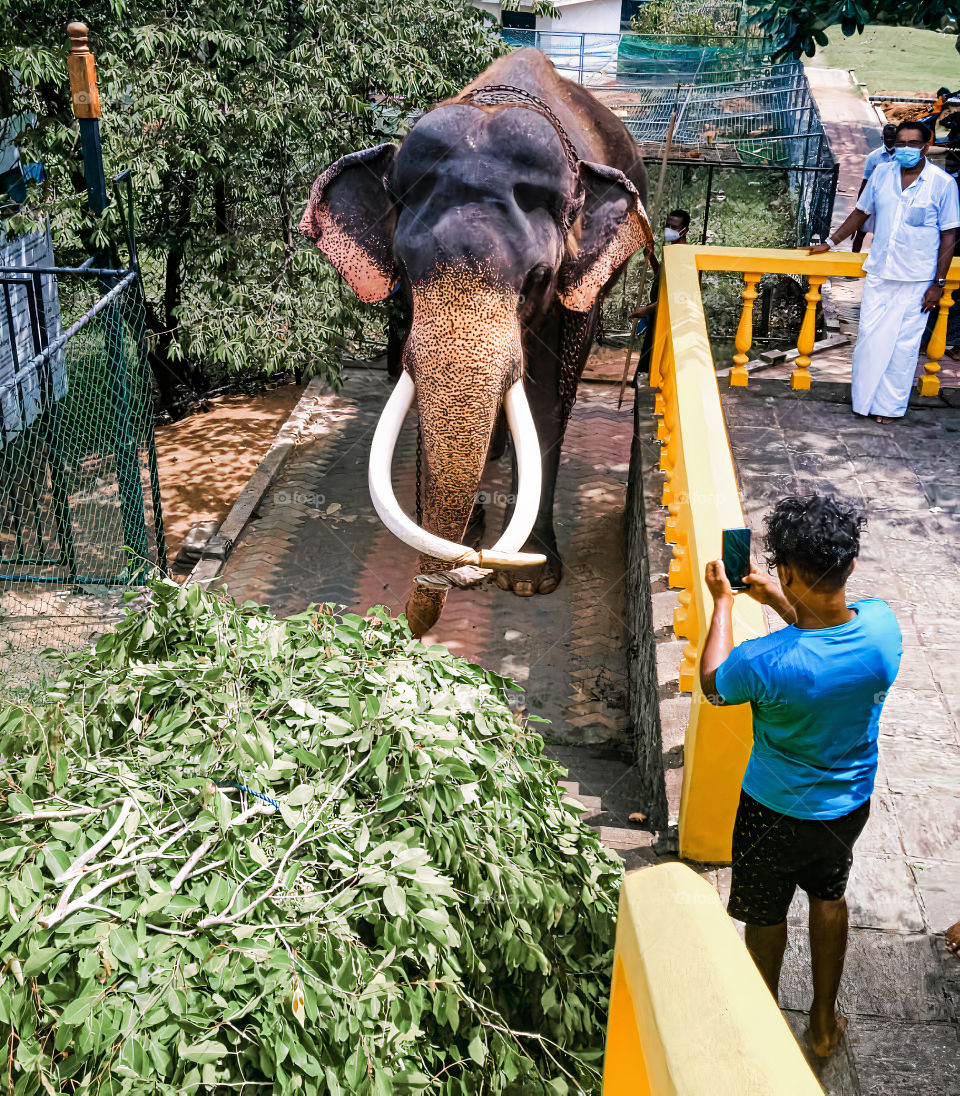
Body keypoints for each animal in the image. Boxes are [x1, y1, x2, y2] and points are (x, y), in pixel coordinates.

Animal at [299, 47, 651, 636]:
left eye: (537, 278)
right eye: (405, 271)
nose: (464, 569)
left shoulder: (575, 289)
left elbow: (546, 395)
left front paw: (531, 580)